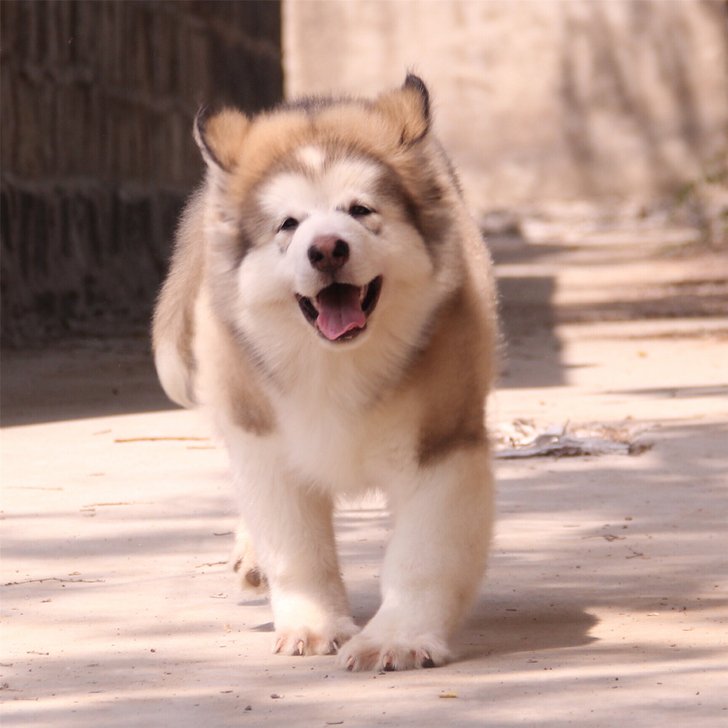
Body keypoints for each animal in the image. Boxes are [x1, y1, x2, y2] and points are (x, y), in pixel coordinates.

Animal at [151, 74, 498, 672]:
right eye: (288, 224)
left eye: (360, 211)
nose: (327, 249)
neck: (335, 364)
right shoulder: (265, 445)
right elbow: (296, 548)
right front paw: (314, 625)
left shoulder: (443, 446)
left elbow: (423, 555)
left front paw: (398, 637)